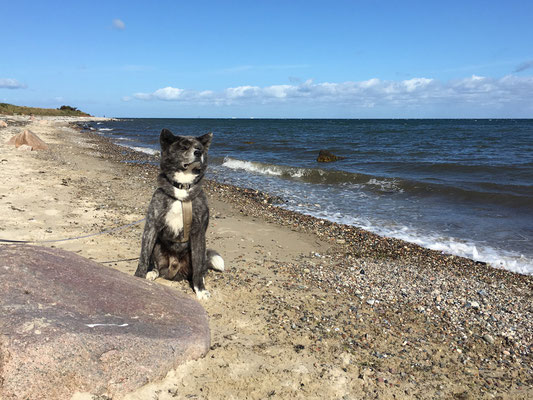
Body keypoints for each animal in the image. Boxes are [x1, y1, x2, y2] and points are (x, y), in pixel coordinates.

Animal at [135, 129, 224, 300]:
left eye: (199, 147)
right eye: (184, 147)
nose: (198, 152)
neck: (182, 188)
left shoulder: (198, 233)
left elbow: (198, 266)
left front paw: (200, 289)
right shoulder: (151, 227)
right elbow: (143, 257)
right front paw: (138, 277)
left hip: (200, 252)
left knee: (201, 267)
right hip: (157, 246)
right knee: (155, 265)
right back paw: (152, 272)